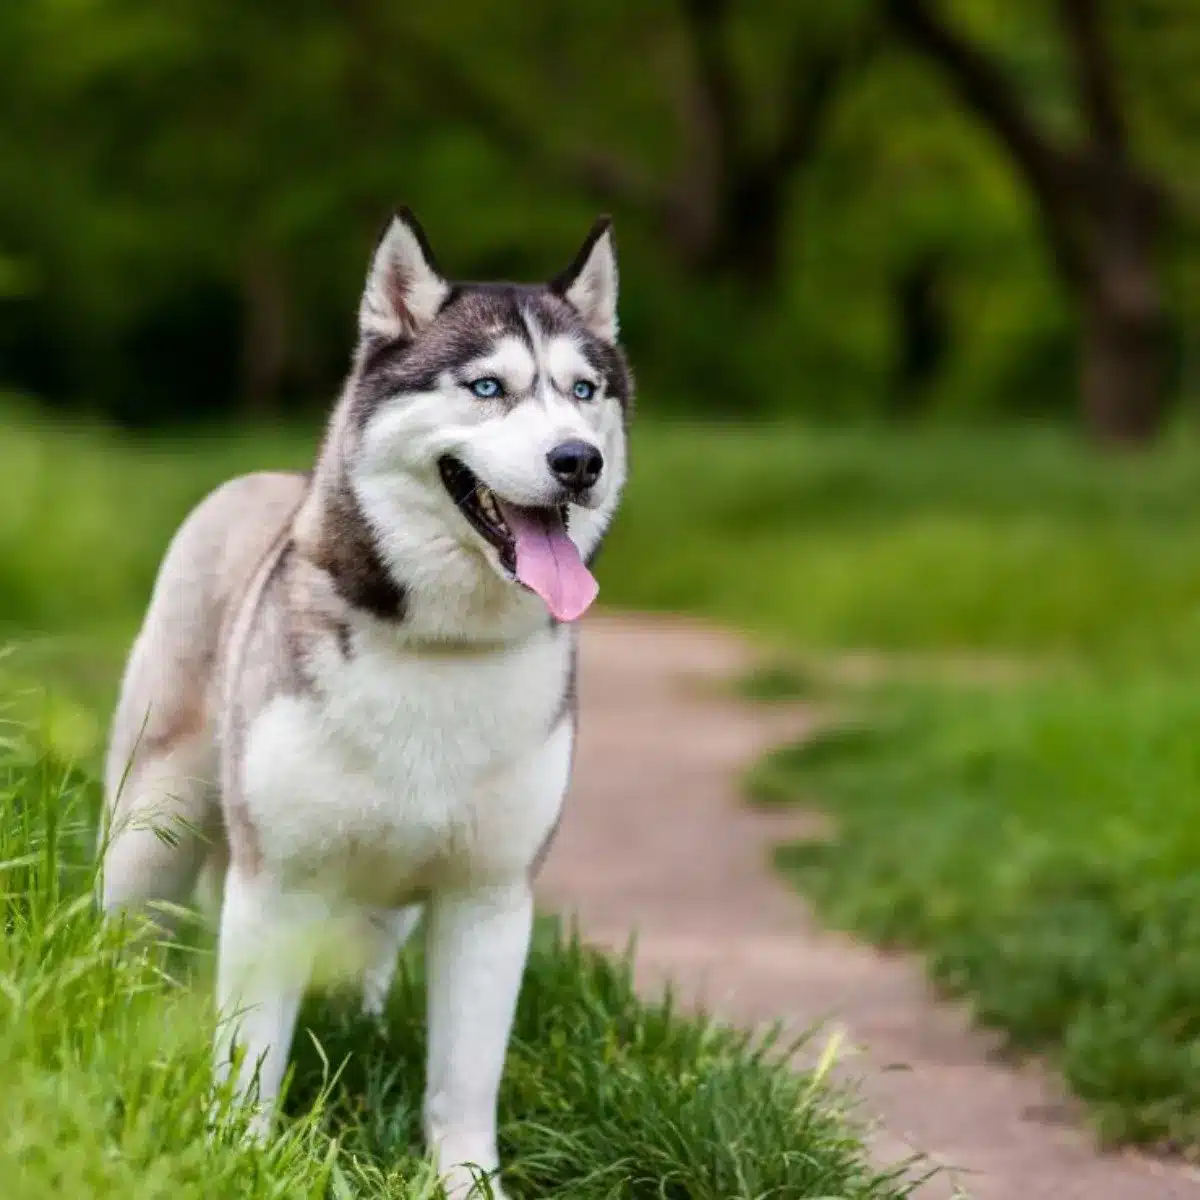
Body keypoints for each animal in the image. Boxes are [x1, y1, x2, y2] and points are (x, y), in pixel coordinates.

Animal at [98, 211, 633, 1195]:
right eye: (488, 386)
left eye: (583, 391)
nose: (579, 460)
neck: (441, 650)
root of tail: (262, 481)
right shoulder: (273, 884)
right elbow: (250, 1057)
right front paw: (242, 1158)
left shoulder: (490, 896)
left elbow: (464, 1079)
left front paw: (467, 1181)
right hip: (156, 821)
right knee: (130, 928)